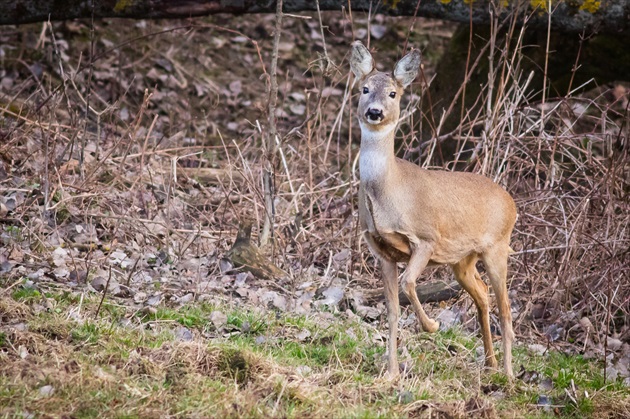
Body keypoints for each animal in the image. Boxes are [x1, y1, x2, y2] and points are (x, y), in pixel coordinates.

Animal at [350, 41, 520, 378]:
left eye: (393, 93)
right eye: (364, 89)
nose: (374, 112)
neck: (388, 192)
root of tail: (512, 203)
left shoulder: (426, 238)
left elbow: (409, 281)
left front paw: (432, 325)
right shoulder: (380, 250)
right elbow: (391, 310)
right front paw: (391, 373)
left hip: (497, 247)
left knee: (507, 309)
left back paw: (508, 375)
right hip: (463, 260)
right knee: (483, 295)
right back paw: (490, 363)